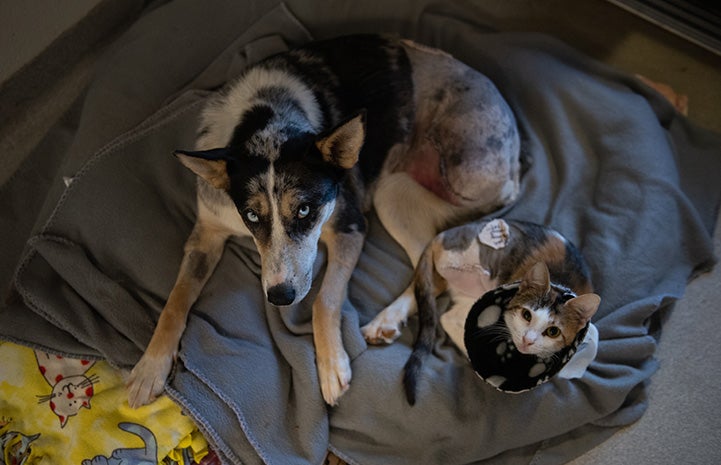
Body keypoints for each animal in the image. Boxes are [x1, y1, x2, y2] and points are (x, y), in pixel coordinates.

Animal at [126, 34, 520, 406]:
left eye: (304, 211)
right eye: (251, 215)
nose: (281, 297)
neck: (266, 120)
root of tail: (516, 170)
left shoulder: (349, 227)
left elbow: (325, 299)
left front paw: (331, 367)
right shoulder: (206, 232)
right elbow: (175, 300)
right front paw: (149, 368)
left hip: (414, 185)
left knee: (432, 273)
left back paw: (386, 319)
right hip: (396, 194)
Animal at [402, 218, 600, 402]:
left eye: (553, 331)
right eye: (527, 315)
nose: (527, 340)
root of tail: (441, 235)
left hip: (469, 298)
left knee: (448, 317)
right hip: (471, 256)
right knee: (452, 267)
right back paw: (482, 269)